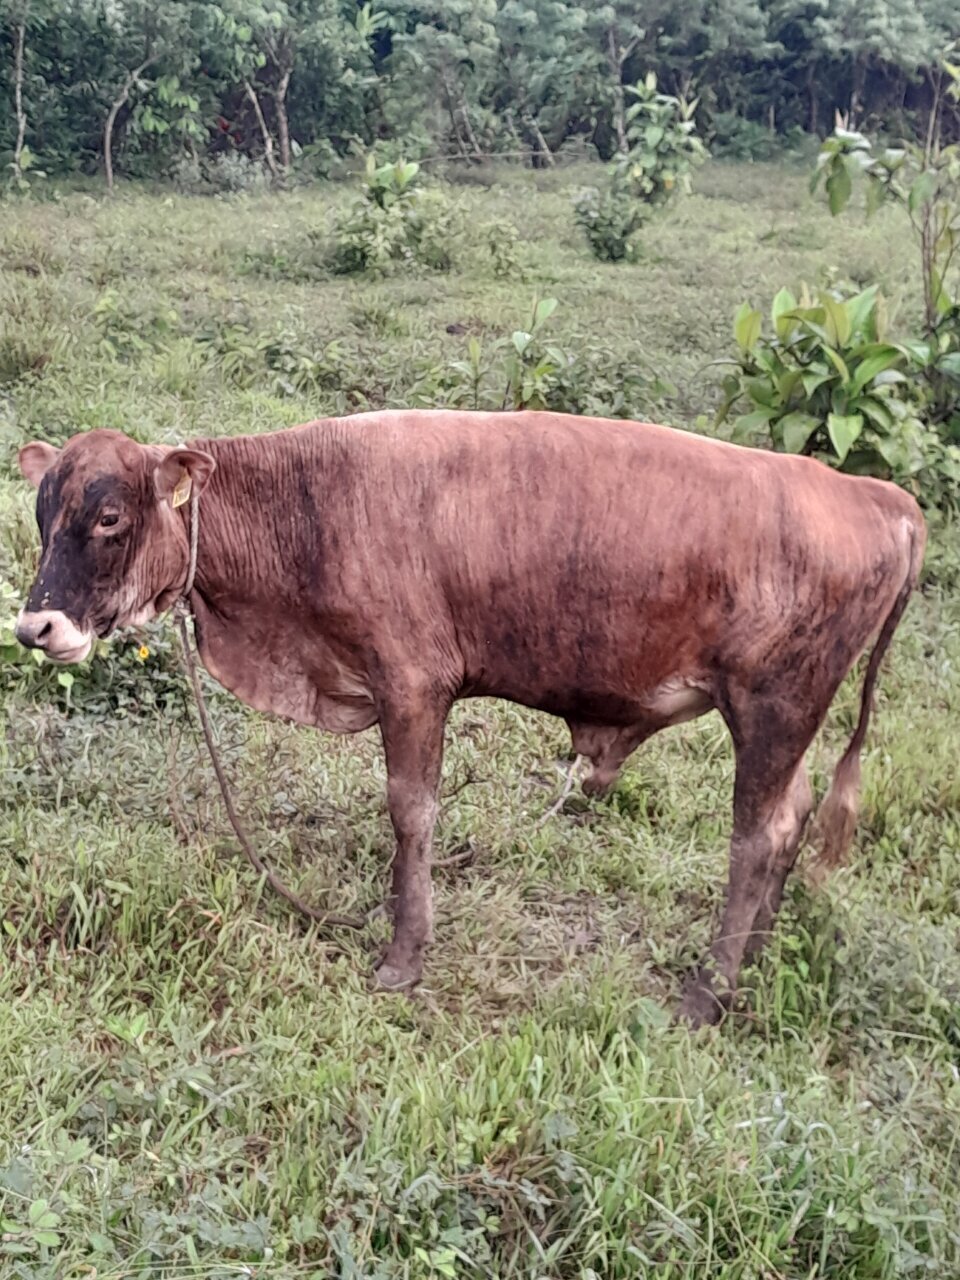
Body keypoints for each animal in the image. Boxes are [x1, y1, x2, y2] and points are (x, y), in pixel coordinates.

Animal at [14, 410, 925, 1026]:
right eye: (40, 513)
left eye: (109, 517)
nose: (35, 628)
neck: (307, 506)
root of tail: (870, 492)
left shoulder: (413, 684)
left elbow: (411, 812)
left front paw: (403, 954)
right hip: (787, 721)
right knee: (792, 815)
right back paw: (757, 959)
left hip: (773, 706)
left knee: (758, 836)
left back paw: (710, 988)